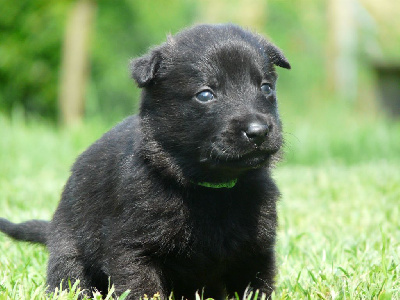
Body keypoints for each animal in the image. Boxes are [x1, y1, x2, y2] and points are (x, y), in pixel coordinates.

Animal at [0, 24, 290, 300]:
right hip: (69, 251)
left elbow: (257, 287)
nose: (258, 131)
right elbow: (142, 288)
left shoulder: (256, 253)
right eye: (206, 94)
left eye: (266, 88)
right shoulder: (134, 248)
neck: (211, 191)